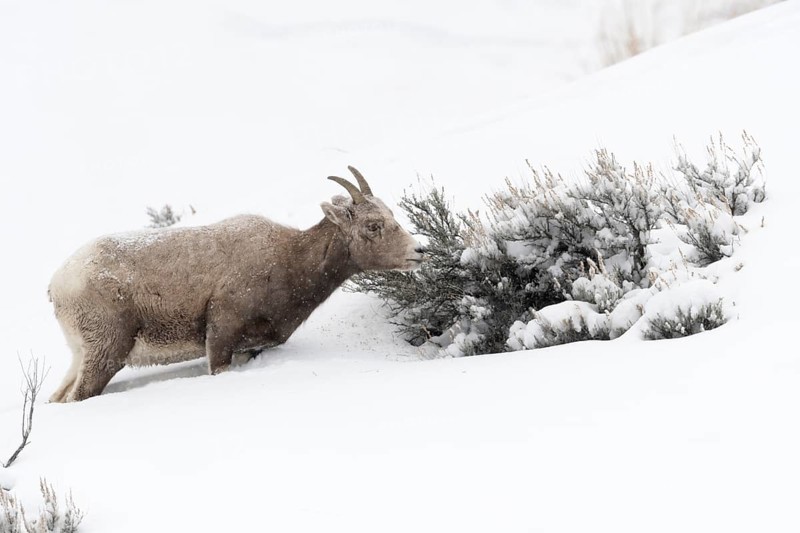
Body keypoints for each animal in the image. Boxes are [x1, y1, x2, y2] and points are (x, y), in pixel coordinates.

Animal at [48, 167, 424, 402]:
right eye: (373, 225)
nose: (419, 252)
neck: (289, 261)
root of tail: (58, 284)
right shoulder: (221, 335)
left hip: (82, 355)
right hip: (107, 353)